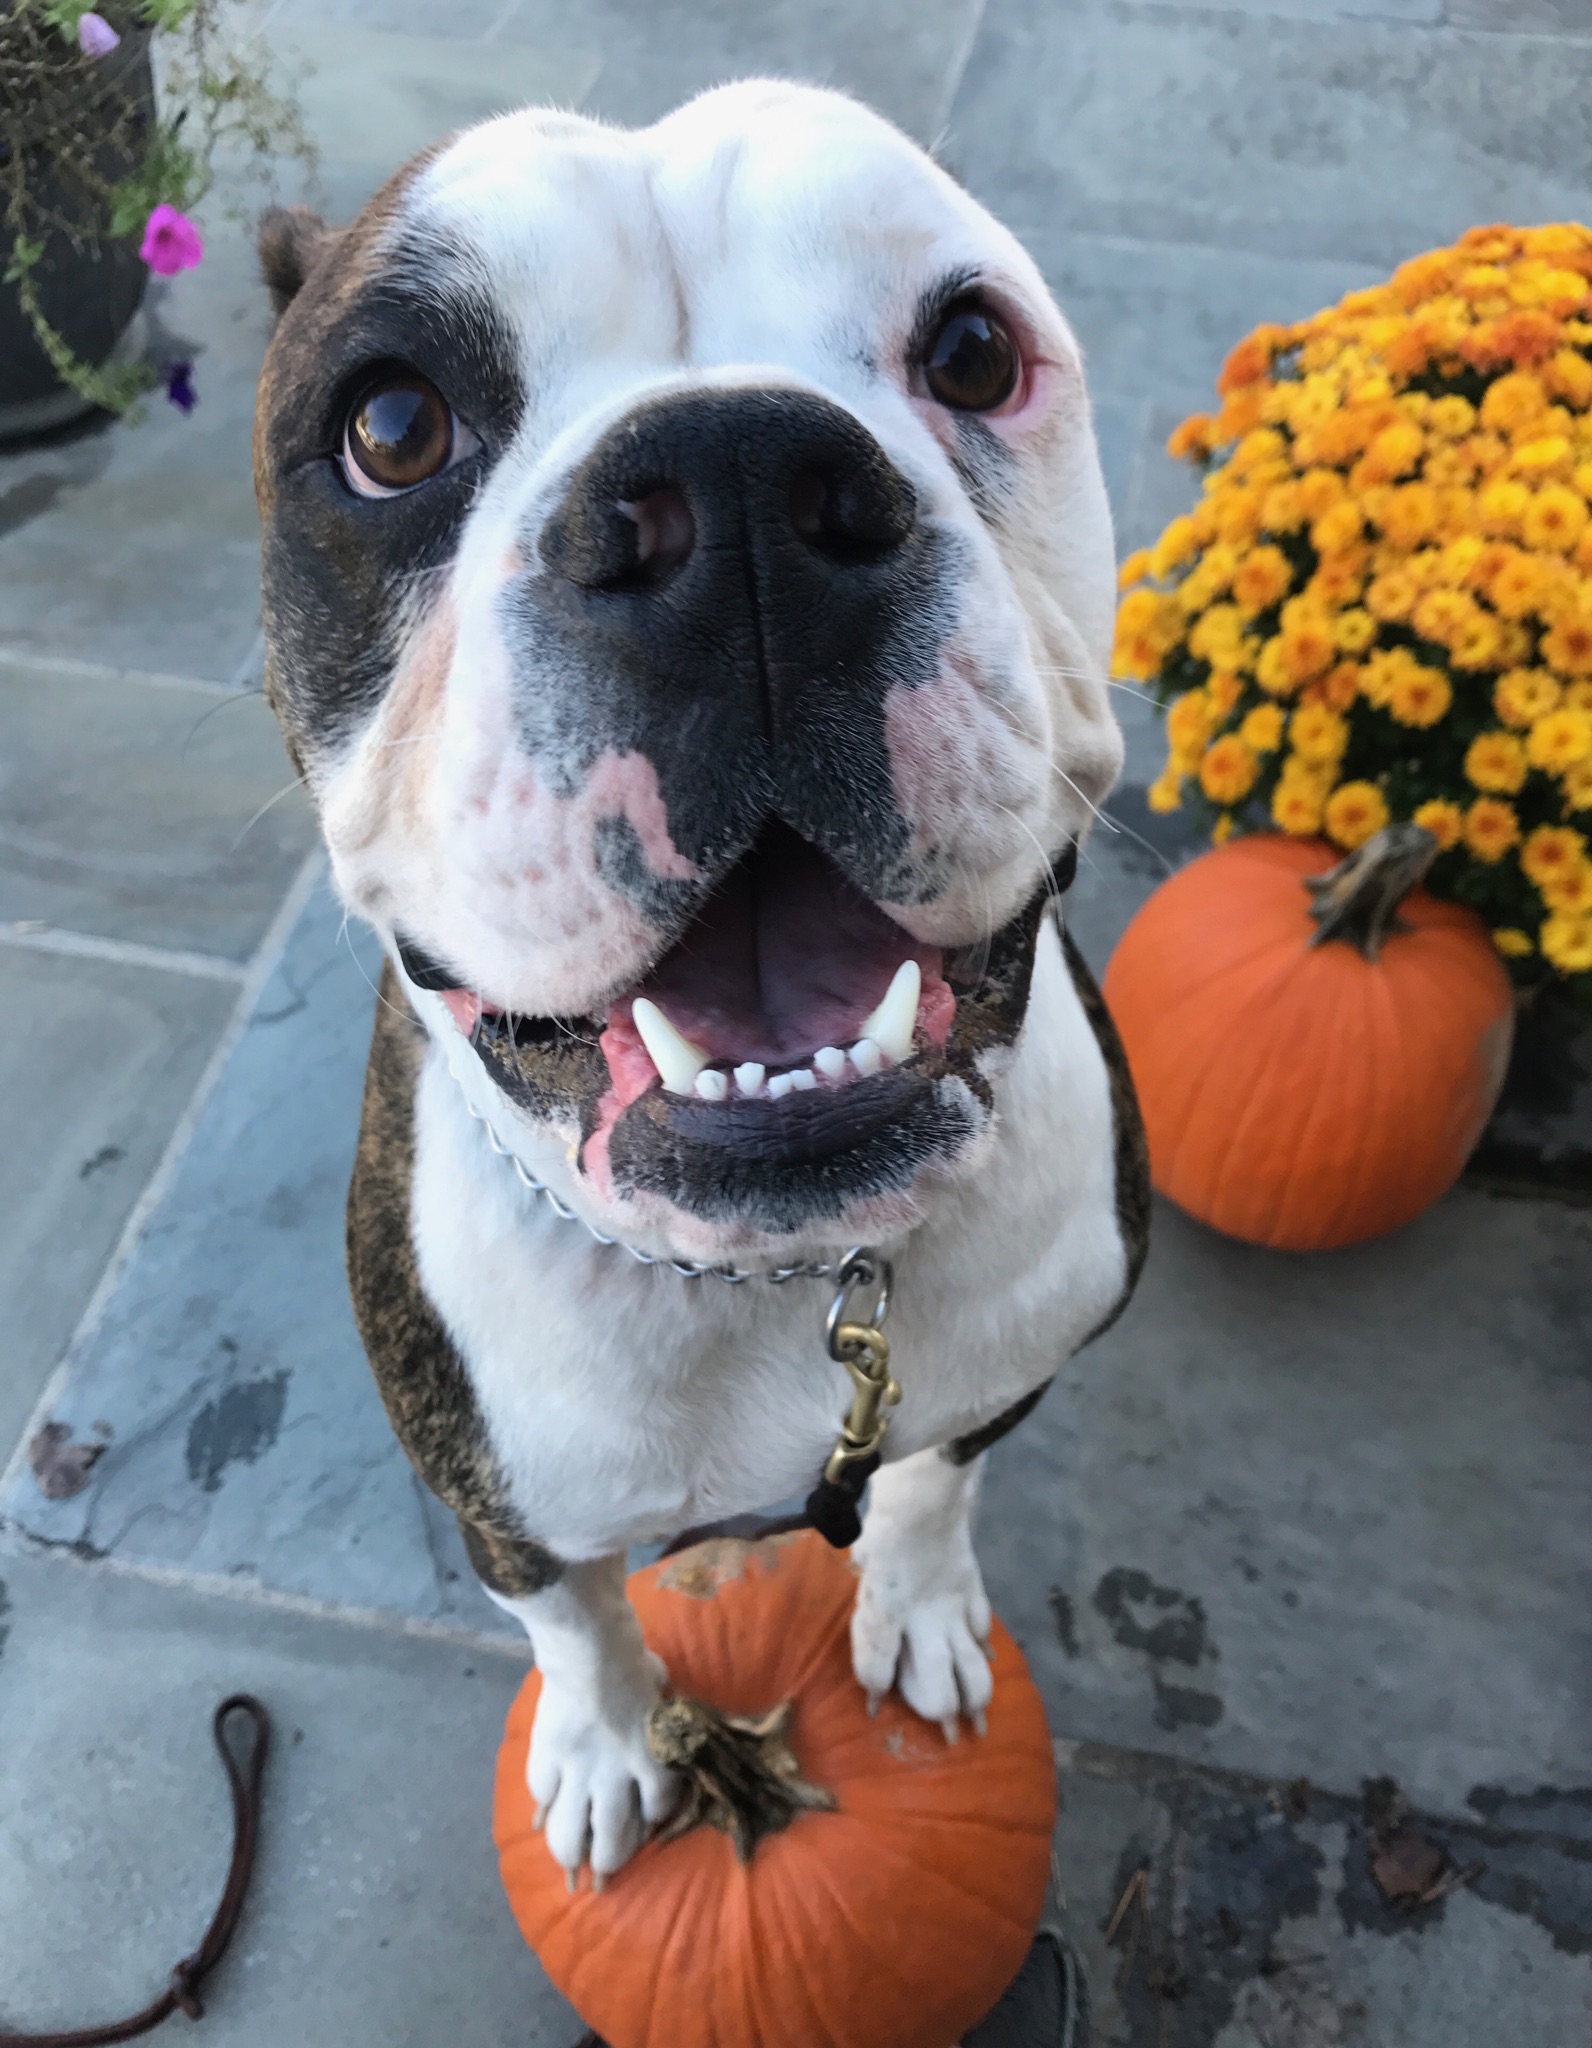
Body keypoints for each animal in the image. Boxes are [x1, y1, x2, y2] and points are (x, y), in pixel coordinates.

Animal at [253, 78, 1148, 1886]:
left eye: (970, 350)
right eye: (392, 426)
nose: (729, 488)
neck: (783, 1267)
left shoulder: (1003, 1376)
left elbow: (930, 1489)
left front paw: (915, 1608)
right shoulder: (502, 1506)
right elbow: (579, 1626)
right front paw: (610, 1751)